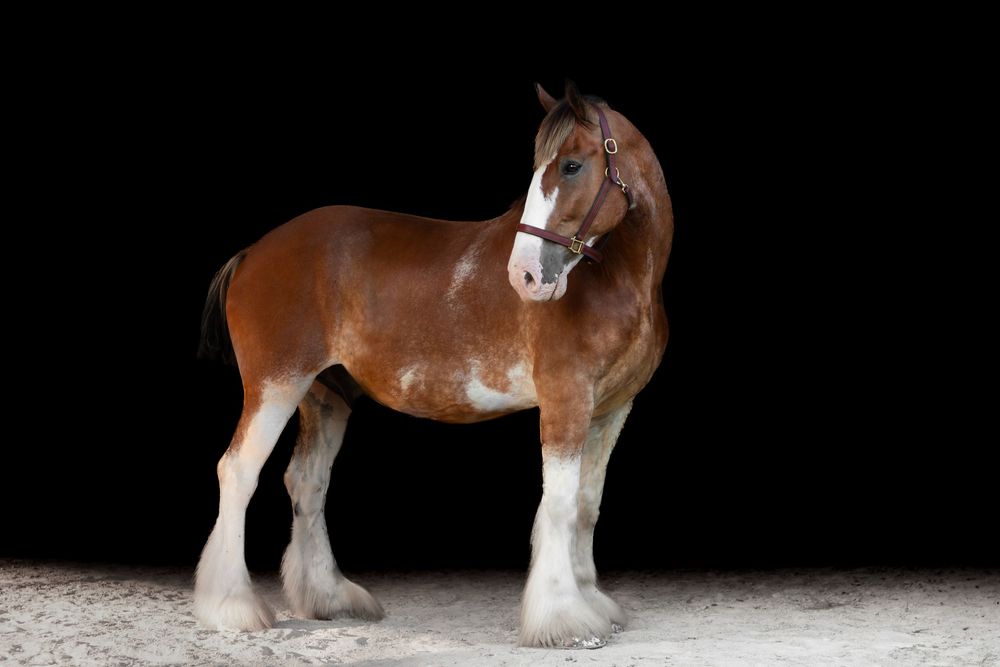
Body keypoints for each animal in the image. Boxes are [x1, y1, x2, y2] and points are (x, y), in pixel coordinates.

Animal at [194, 81, 673, 649]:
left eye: (572, 165)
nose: (525, 275)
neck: (618, 280)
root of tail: (251, 253)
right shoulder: (566, 400)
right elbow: (558, 503)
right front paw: (562, 620)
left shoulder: (610, 409)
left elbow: (586, 504)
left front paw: (592, 602)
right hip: (276, 386)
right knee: (238, 473)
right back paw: (232, 607)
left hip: (323, 395)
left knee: (307, 483)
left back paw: (329, 598)